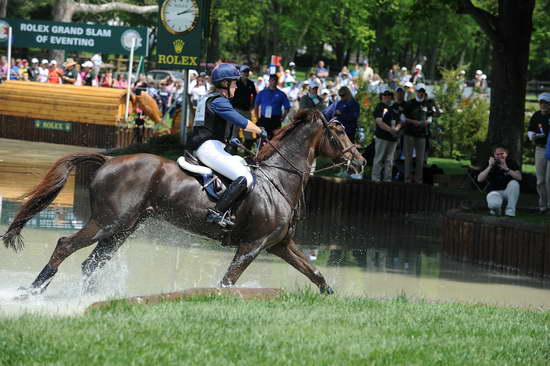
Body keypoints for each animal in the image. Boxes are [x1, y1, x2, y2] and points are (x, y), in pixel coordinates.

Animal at [4, 108, 368, 294]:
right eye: (339, 132)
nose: (360, 161)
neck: (277, 179)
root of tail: (108, 160)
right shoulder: (252, 246)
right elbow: (227, 282)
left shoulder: (279, 244)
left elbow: (316, 274)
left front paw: (331, 300)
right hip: (107, 223)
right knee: (65, 246)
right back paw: (32, 291)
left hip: (123, 228)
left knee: (91, 264)